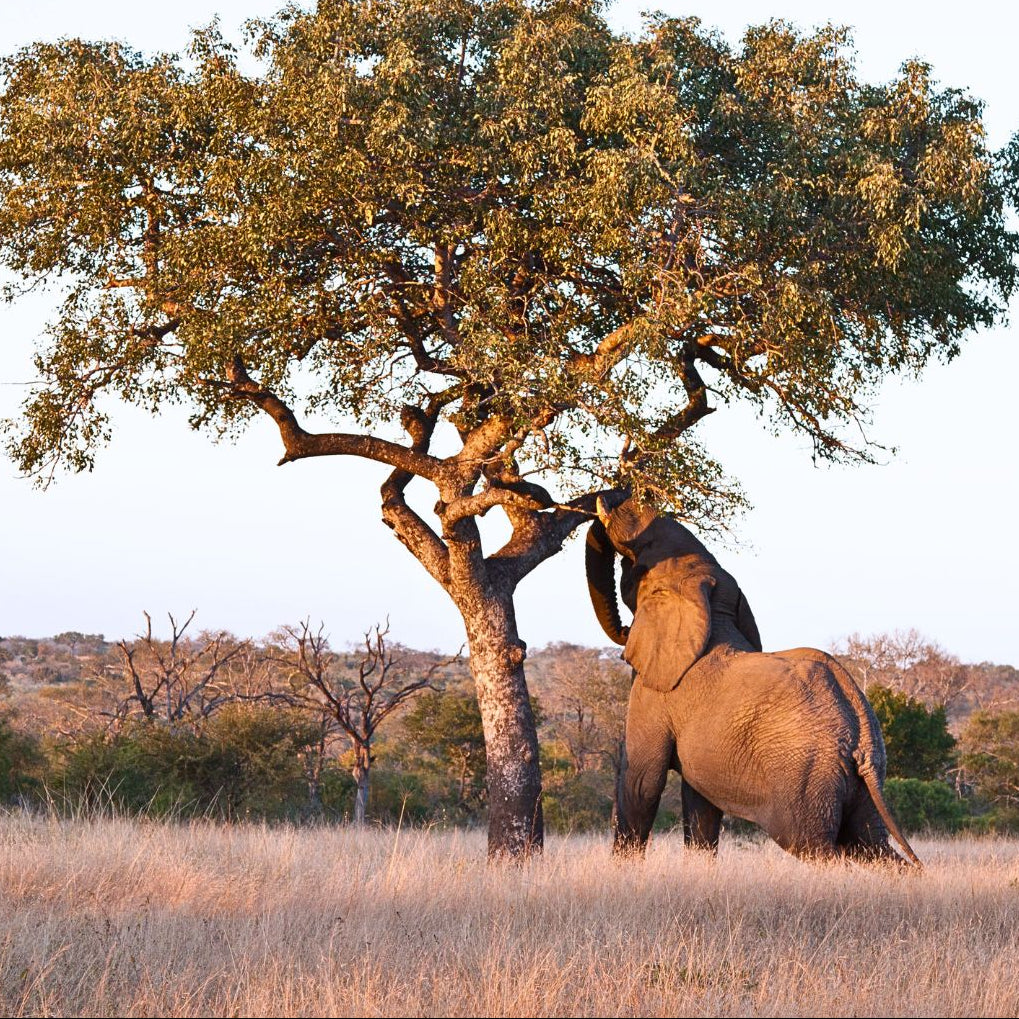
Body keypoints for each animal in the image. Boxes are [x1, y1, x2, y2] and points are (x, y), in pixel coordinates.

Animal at [586, 496, 920, 866]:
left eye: (635, 568)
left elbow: (642, 781)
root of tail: (863, 735)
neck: (710, 606)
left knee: (817, 847)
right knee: (871, 846)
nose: (616, 498)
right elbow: (700, 799)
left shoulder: (656, 691)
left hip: (806, 775)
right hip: (860, 783)